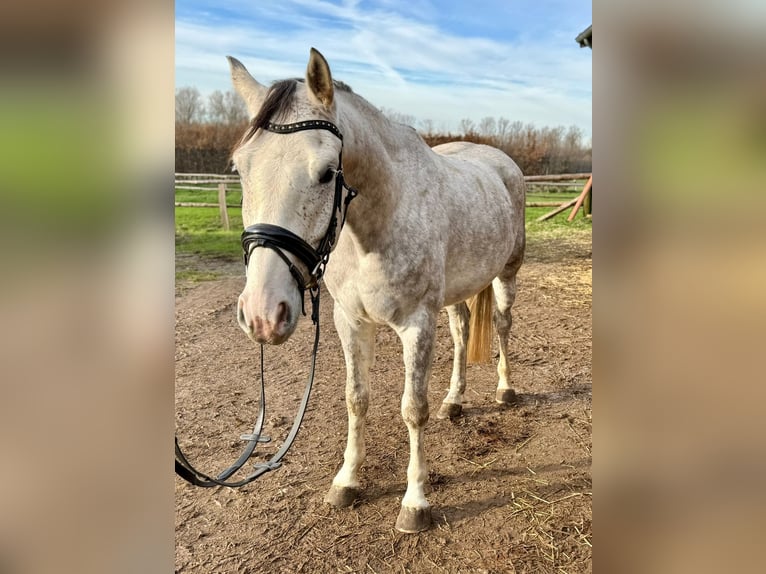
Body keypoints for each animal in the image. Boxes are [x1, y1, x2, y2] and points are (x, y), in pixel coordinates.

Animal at [229, 48, 525, 533]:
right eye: (240, 168)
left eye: (327, 172)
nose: (262, 313)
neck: (375, 224)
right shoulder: (349, 321)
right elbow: (356, 399)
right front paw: (347, 481)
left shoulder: (417, 325)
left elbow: (412, 408)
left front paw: (415, 503)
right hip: (458, 291)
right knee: (463, 331)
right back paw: (455, 401)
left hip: (507, 274)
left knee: (501, 325)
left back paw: (505, 390)